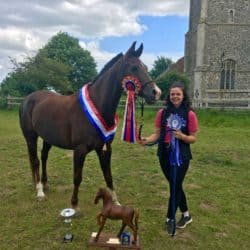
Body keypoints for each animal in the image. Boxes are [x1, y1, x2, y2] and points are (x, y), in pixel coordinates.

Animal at [18, 41, 161, 209]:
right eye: (134, 68)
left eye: (146, 67)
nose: (156, 92)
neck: (97, 106)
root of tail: (28, 99)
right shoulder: (79, 151)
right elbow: (77, 177)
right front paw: (74, 204)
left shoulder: (104, 149)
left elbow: (108, 176)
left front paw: (116, 202)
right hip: (31, 137)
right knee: (35, 161)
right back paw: (40, 191)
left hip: (48, 137)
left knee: (44, 156)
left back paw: (45, 184)